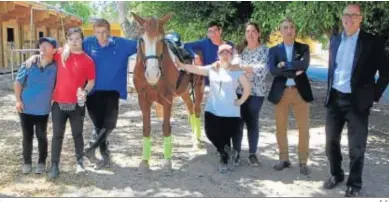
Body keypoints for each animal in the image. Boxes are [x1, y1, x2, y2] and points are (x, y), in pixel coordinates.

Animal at [132, 12, 204, 170]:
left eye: (161, 39)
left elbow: (166, 127)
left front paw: (167, 160)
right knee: (190, 108)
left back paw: (197, 140)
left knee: (196, 110)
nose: (152, 74)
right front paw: (145, 161)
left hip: (198, 88)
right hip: (184, 92)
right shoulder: (143, 100)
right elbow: (146, 128)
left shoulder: (167, 99)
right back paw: (193, 136)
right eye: (141, 39)